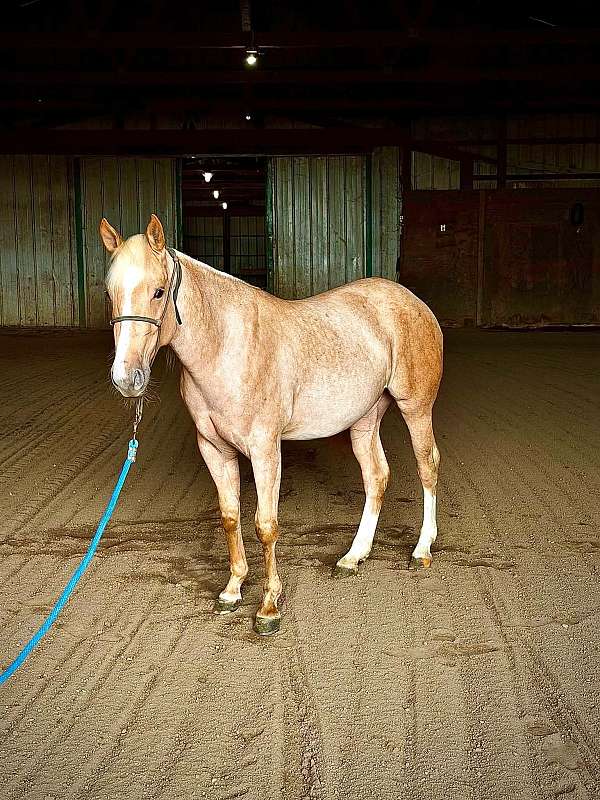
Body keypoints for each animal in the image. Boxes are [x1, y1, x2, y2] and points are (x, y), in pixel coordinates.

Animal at [101, 214, 443, 635]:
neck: (227, 347)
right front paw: (232, 590)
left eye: (159, 292)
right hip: (365, 418)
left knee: (427, 466)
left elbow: (266, 524)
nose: (126, 378)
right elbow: (230, 516)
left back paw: (422, 549)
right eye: (110, 293)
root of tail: (413, 301)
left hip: (416, 408)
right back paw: (353, 556)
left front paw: (268, 607)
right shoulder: (214, 450)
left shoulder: (265, 449)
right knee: (376, 476)